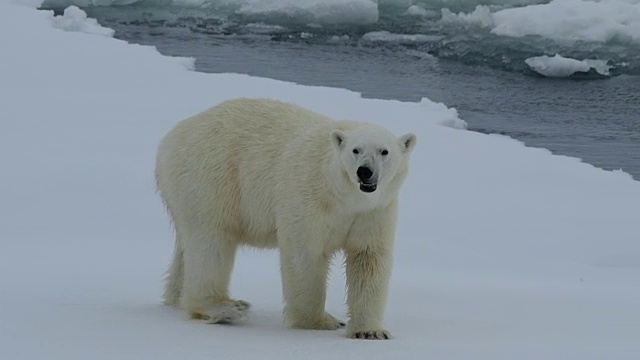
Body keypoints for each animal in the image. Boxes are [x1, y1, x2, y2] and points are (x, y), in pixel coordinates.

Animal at [155, 97, 416, 338]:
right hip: (211, 177)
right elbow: (306, 255)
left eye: (384, 151)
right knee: (211, 242)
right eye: (356, 150)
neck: (342, 197)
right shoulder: (307, 197)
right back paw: (225, 307)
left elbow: (368, 258)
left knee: (187, 247)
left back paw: (176, 297)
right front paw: (319, 321)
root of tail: (170, 138)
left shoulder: (373, 211)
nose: (365, 171)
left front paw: (370, 331)